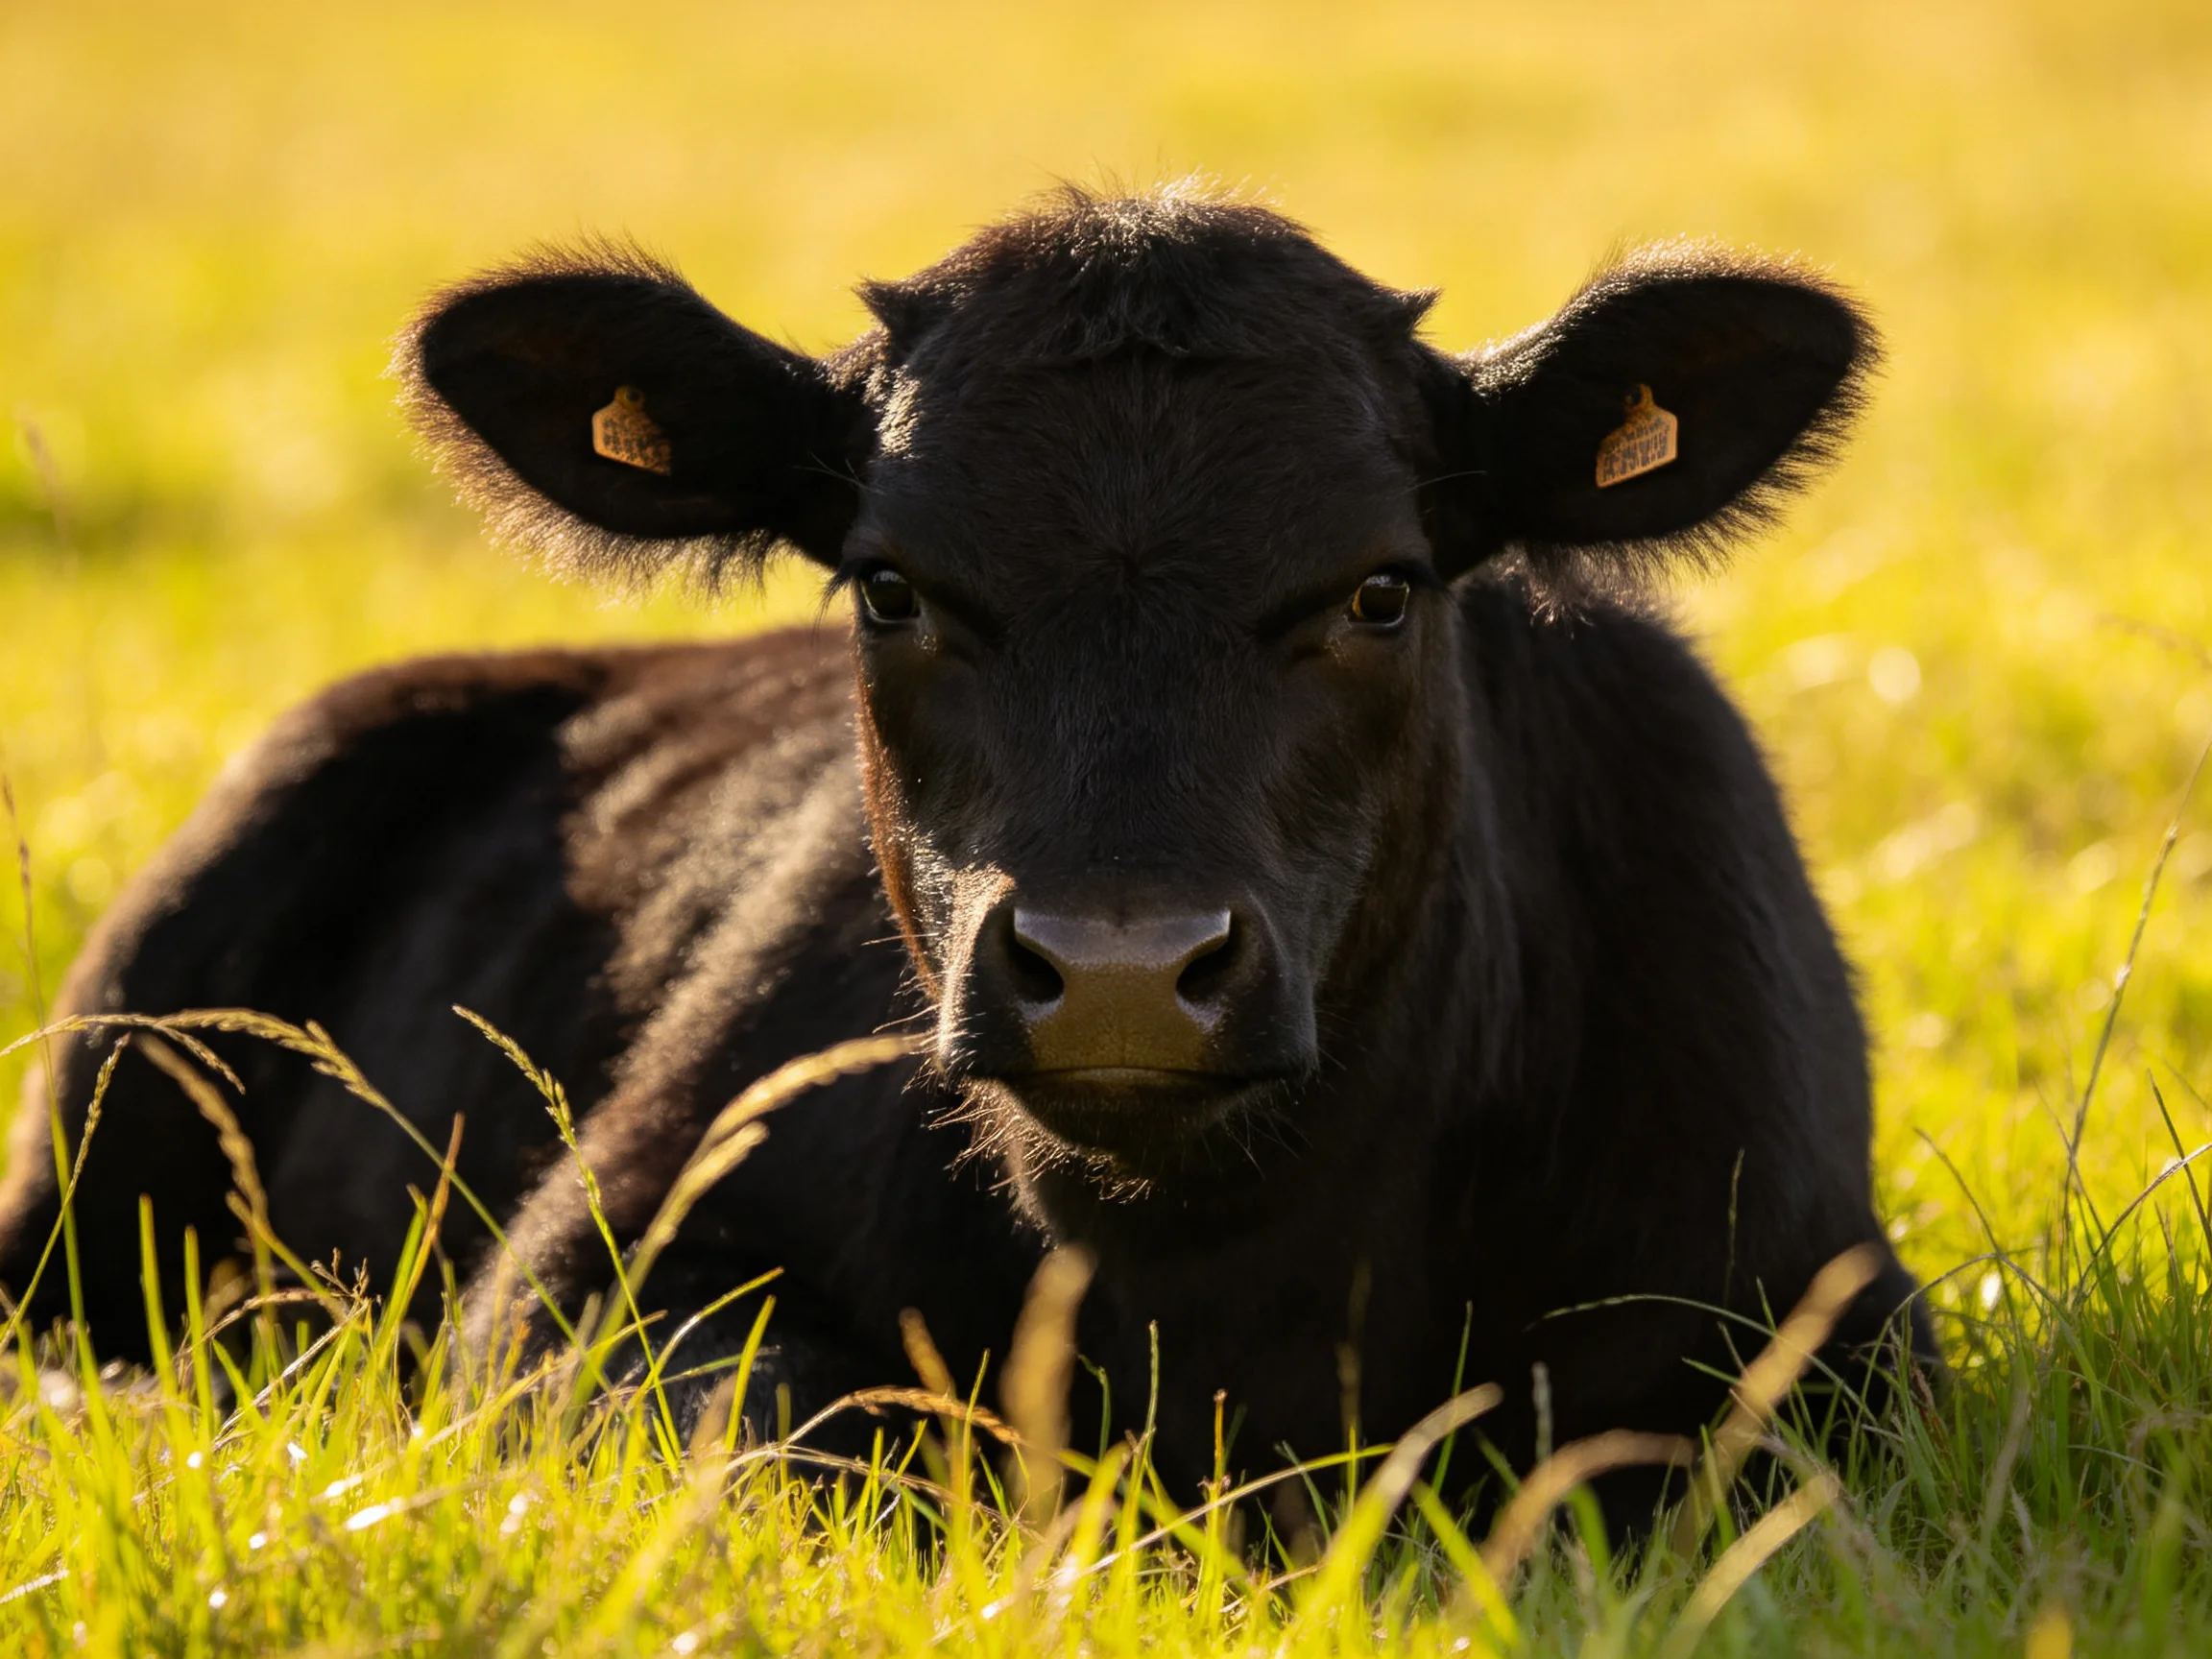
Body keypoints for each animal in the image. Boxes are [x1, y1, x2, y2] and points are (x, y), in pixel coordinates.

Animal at [0, 187, 1930, 1527]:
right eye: (890, 586)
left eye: (1382, 588)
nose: (1123, 970)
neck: (1219, 1287)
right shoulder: (579, 1277)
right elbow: (842, 1437)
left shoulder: (1829, 1320)